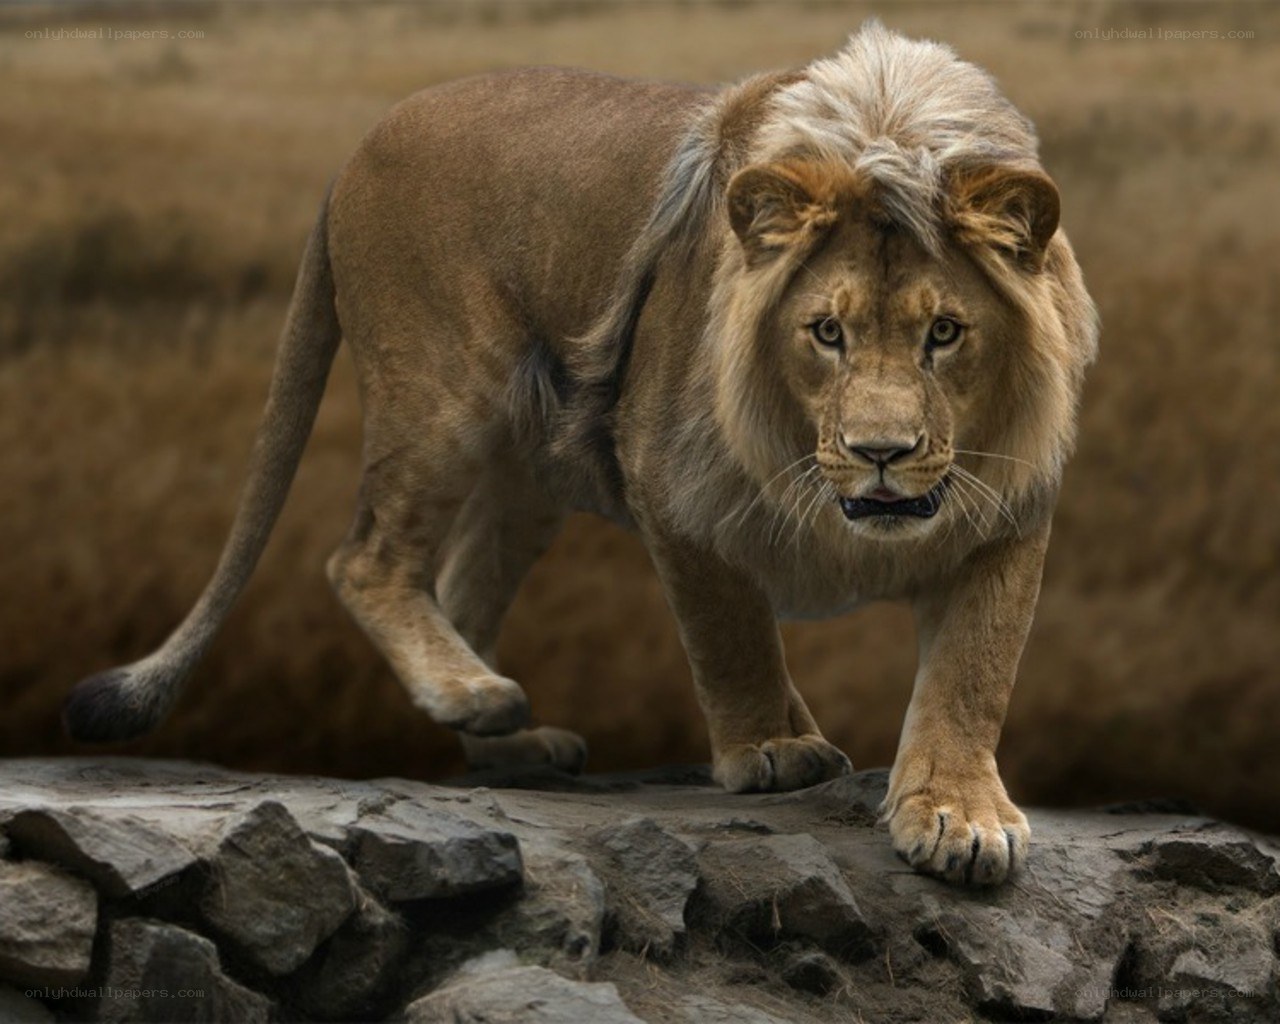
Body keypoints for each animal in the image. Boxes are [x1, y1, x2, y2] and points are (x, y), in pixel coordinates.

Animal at [64, 22, 1097, 886]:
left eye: (946, 333)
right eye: (827, 333)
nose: (881, 452)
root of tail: (354, 148)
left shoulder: (1008, 505)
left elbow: (973, 672)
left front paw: (960, 815)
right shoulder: (668, 480)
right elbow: (730, 633)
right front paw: (771, 748)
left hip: (527, 484)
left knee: (458, 587)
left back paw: (507, 740)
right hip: (442, 392)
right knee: (365, 558)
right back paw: (476, 695)